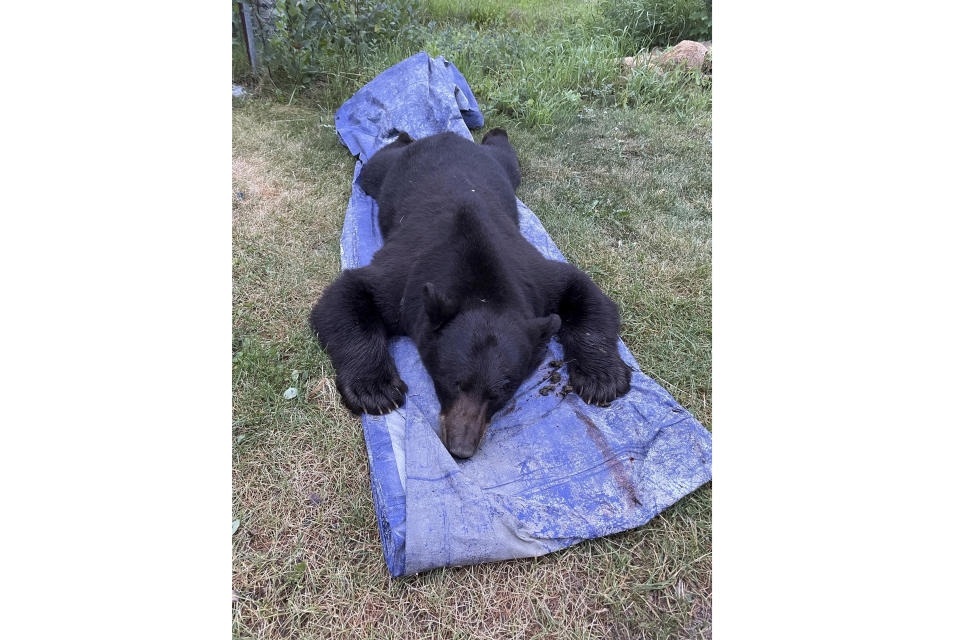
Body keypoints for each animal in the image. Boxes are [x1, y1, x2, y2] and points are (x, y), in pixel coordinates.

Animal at [312, 130, 632, 458]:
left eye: (501, 392)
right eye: (452, 382)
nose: (461, 449)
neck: (480, 280)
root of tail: (445, 135)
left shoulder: (534, 279)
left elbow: (583, 290)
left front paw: (601, 379)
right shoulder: (406, 278)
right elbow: (347, 294)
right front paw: (376, 390)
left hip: (502, 168)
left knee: (505, 154)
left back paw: (495, 133)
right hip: (385, 173)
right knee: (374, 164)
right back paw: (402, 137)